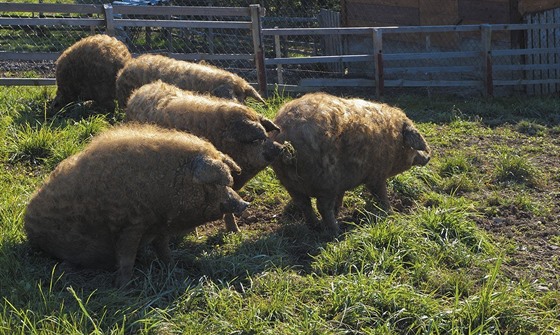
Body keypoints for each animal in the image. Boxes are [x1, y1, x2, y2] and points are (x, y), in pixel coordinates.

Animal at [24, 124, 247, 288]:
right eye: (215, 183)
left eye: (228, 181)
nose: (244, 204)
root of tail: (27, 225)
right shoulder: (131, 225)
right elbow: (127, 257)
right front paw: (122, 287)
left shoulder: (159, 227)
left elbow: (163, 250)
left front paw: (174, 268)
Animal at [272, 92, 434, 234]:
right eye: (412, 147)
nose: (428, 156)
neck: (395, 141)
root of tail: (286, 140)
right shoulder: (376, 174)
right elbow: (381, 193)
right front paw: (390, 212)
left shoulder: (342, 184)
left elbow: (340, 199)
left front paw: (338, 212)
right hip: (325, 181)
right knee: (321, 207)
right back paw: (336, 232)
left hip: (290, 184)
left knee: (304, 205)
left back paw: (316, 227)